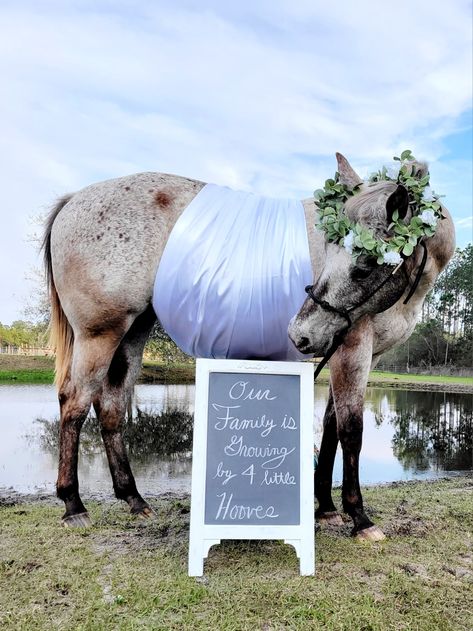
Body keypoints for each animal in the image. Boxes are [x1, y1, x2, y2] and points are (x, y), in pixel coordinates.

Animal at [43, 152, 454, 540]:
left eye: (366, 264)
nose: (299, 333)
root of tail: (73, 200)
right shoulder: (352, 346)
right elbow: (351, 430)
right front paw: (359, 517)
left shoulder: (357, 353)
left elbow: (331, 426)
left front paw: (325, 507)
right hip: (100, 334)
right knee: (75, 403)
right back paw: (73, 503)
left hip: (131, 333)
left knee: (110, 407)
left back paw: (133, 498)